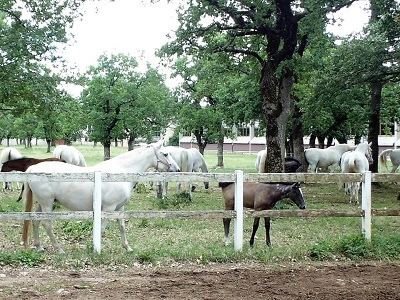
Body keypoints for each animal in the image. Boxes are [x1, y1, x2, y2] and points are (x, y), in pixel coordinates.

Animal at [21, 139, 179, 254]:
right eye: (165, 154)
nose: (177, 169)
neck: (120, 172)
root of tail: (32, 168)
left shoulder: (120, 208)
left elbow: (122, 227)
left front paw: (127, 247)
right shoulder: (108, 209)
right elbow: (101, 229)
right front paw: (95, 249)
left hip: (43, 203)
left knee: (35, 221)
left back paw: (39, 247)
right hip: (47, 203)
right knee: (47, 224)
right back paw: (59, 249)